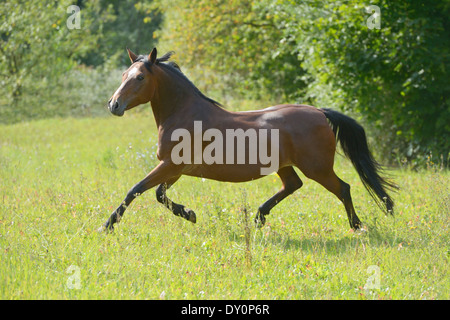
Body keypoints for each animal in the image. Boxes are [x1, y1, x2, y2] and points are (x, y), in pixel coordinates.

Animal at [99, 47, 398, 232]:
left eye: (139, 77)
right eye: (124, 75)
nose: (113, 105)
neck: (183, 113)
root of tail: (320, 112)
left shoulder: (171, 165)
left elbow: (136, 190)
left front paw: (107, 226)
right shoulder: (175, 169)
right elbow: (159, 195)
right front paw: (190, 214)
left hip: (318, 168)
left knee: (343, 188)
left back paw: (357, 226)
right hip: (285, 166)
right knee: (293, 185)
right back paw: (258, 217)